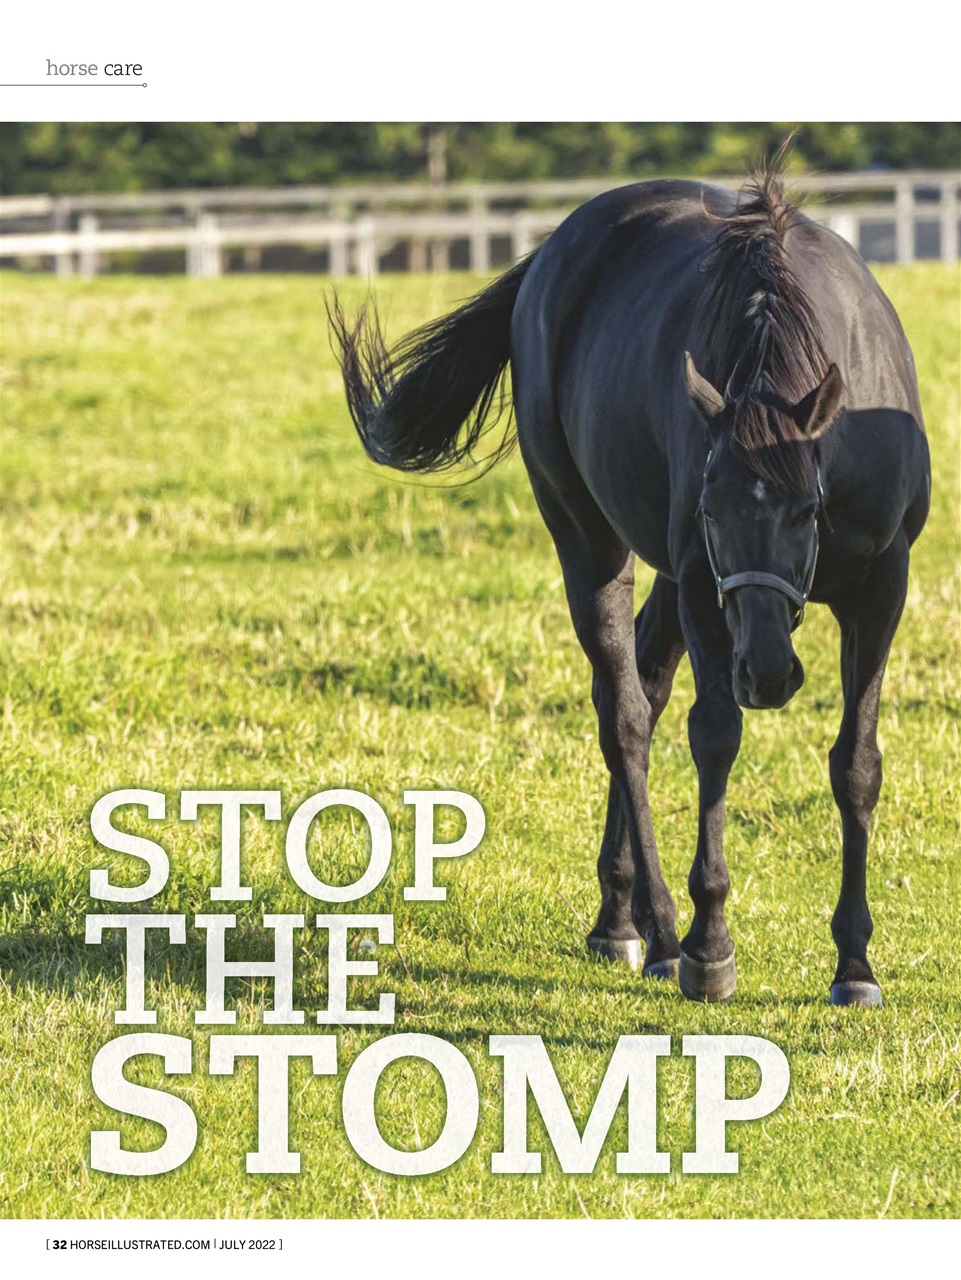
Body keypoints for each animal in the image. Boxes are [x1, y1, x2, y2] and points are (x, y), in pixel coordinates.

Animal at [328, 161, 931, 1006]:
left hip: (673, 581)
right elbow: (714, 736)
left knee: (645, 679)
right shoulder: (707, 589)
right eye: (711, 510)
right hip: (591, 542)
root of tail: (550, 256)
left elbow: (856, 764)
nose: (766, 671)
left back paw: (621, 918)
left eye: (808, 508)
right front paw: (710, 942)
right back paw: (655, 930)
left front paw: (853, 963)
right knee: (625, 717)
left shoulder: (879, 589)